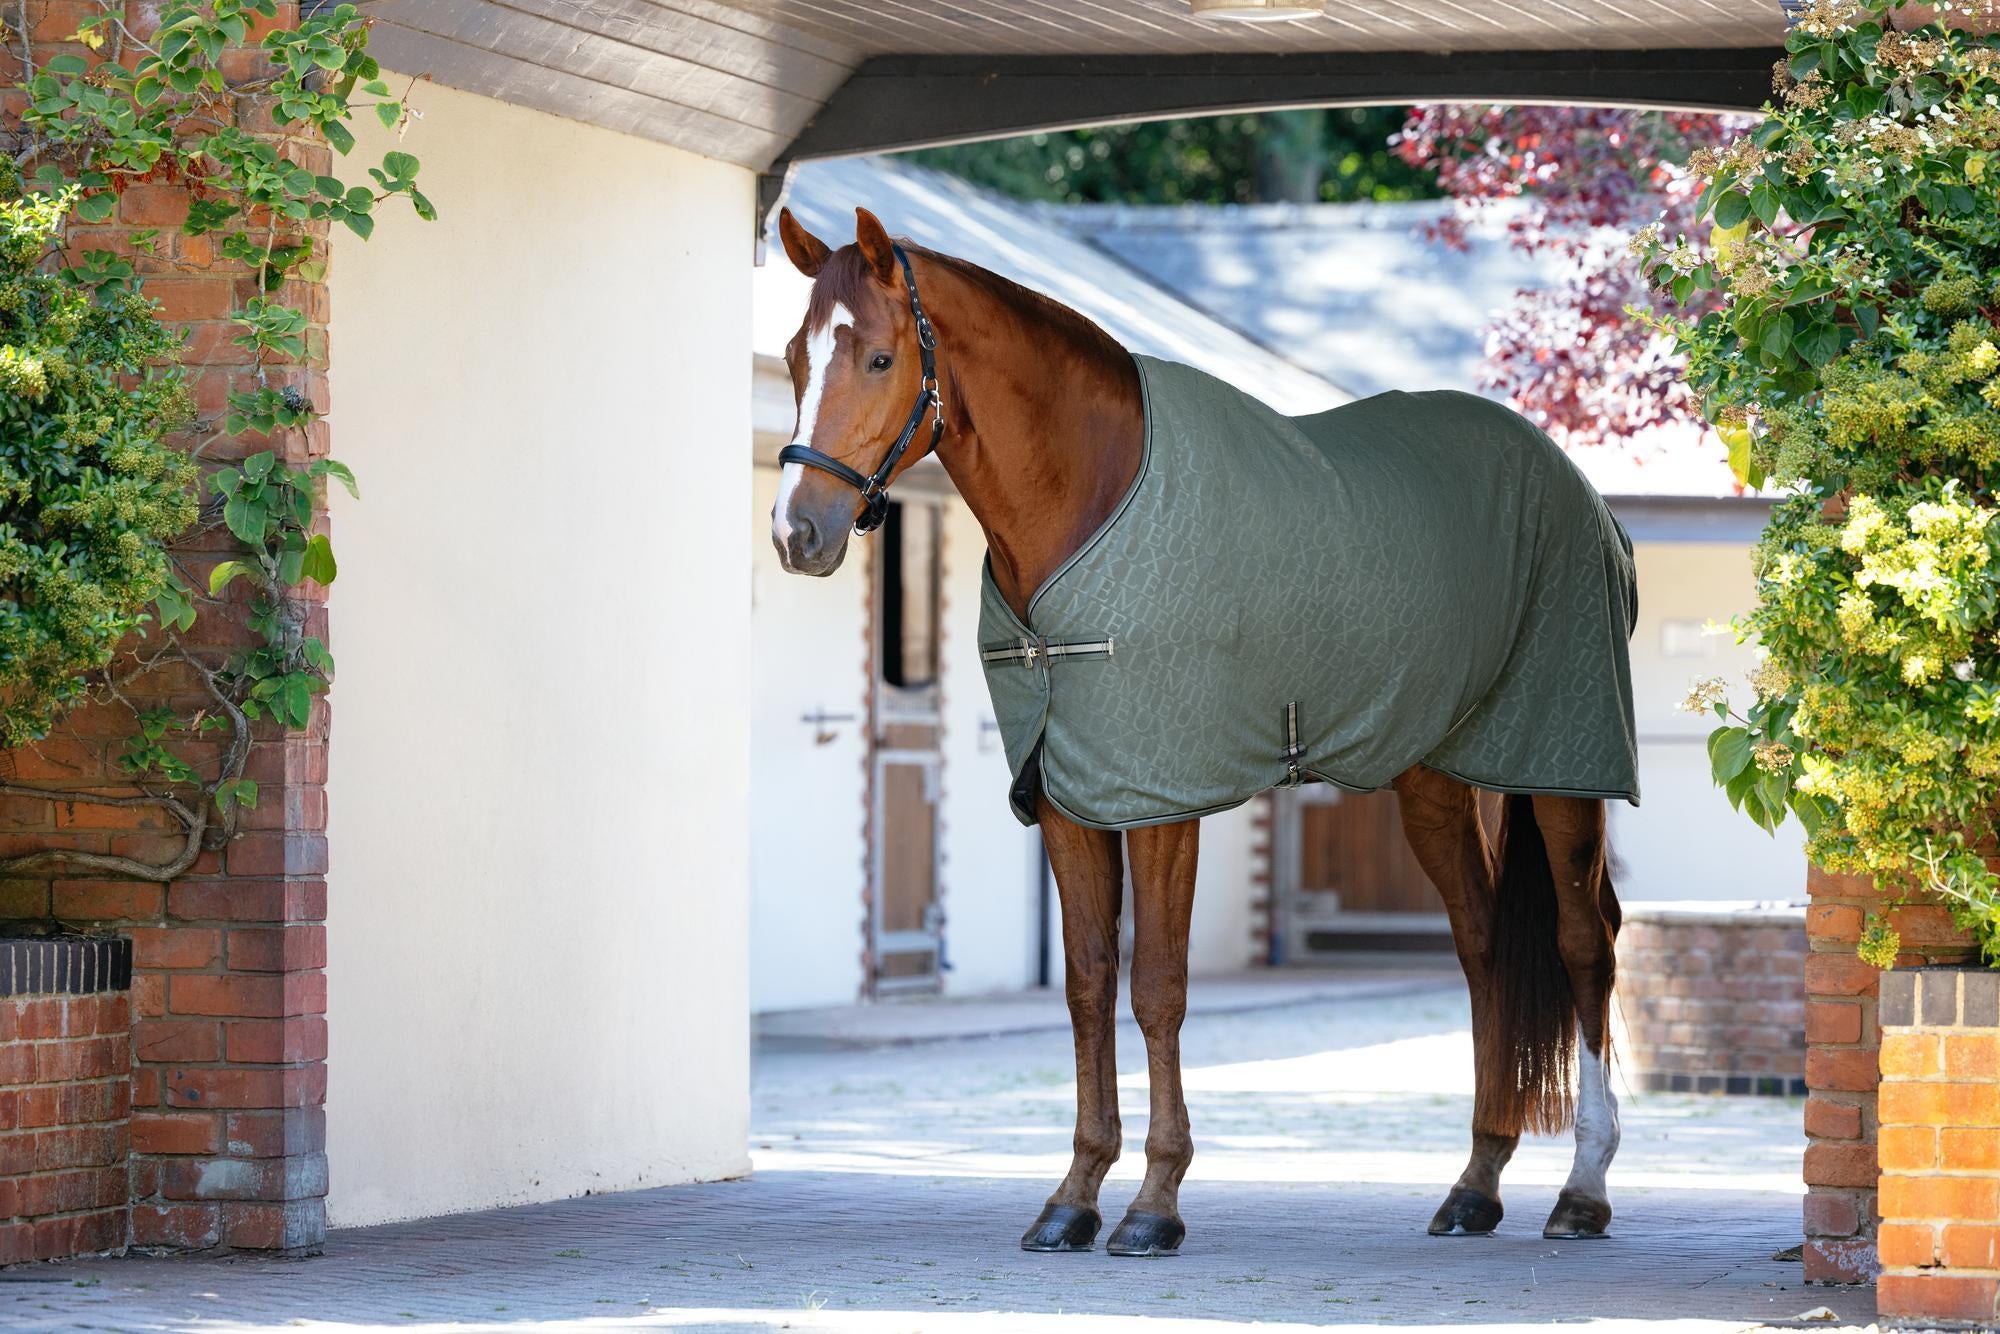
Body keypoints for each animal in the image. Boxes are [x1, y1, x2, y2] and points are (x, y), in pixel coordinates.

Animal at [768, 205, 1628, 1259]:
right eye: (795, 357)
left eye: (882, 358)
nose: (797, 533)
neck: (1092, 498)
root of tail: (1574, 485)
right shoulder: (1071, 799)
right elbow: (1089, 985)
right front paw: (1073, 1196)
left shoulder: (1160, 799)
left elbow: (1158, 988)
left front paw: (1154, 1202)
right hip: (1437, 779)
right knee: (1483, 948)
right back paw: (1475, 1185)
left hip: (1564, 763)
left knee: (1586, 943)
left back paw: (1582, 1190)